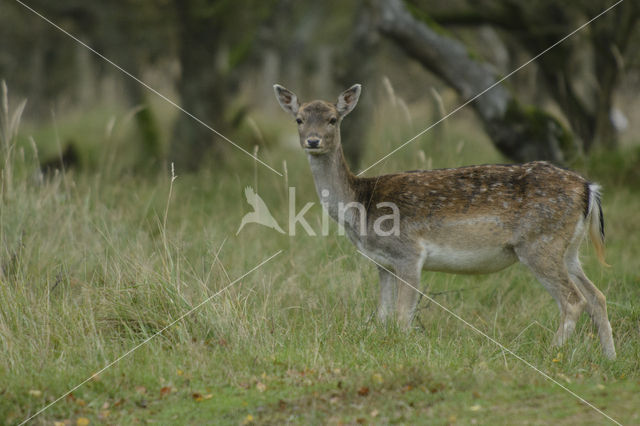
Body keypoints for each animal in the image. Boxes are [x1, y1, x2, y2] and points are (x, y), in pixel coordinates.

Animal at [274, 83, 616, 360]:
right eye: (299, 119)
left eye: (333, 119)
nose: (313, 141)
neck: (361, 204)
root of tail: (588, 188)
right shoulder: (382, 263)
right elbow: (383, 316)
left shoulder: (409, 253)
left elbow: (402, 318)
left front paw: (402, 350)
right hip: (568, 249)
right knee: (597, 296)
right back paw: (610, 358)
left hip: (539, 244)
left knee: (573, 301)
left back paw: (552, 353)